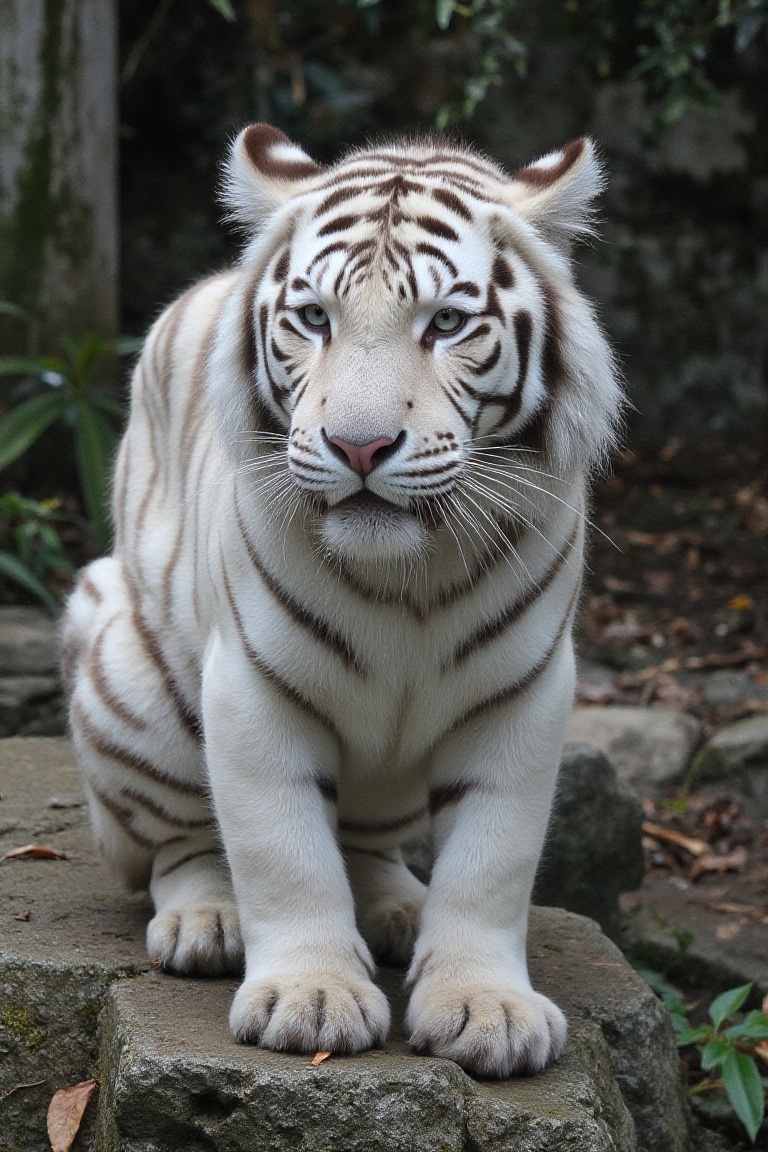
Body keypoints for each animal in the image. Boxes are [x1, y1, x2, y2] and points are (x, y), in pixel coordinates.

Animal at [61, 123, 622, 1079]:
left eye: (446, 323)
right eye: (315, 318)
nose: (359, 446)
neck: (408, 578)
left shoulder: (525, 693)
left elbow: (492, 862)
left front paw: (487, 1008)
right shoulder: (250, 689)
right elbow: (284, 855)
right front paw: (310, 999)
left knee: (367, 843)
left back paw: (398, 905)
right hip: (132, 679)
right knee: (179, 841)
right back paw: (208, 919)